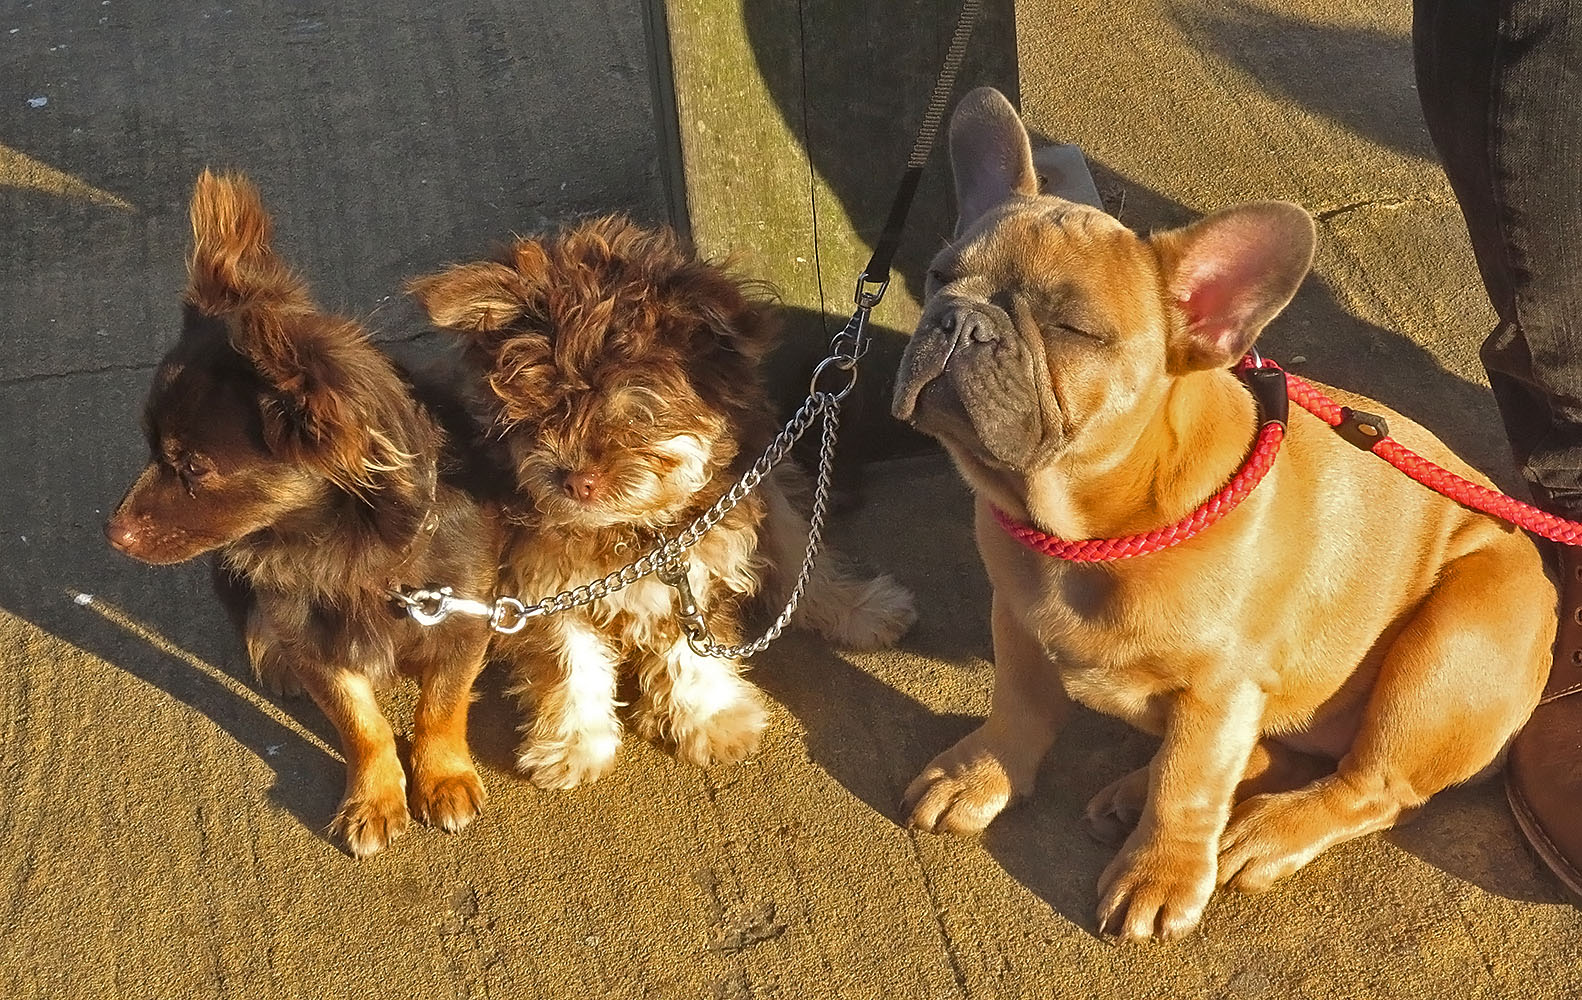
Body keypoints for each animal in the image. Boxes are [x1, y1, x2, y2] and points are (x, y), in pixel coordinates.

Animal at [106, 170, 499, 854]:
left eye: (195, 467)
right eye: (151, 447)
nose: (112, 532)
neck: (349, 552)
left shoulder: (460, 619)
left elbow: (442, 706)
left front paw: (442, 776)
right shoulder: (318, 645)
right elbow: (361, 724)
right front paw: (374, 798)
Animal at [408, 219, 917, 787]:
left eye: (637, 413)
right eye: (544, 408)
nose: (576, 480)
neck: (633, 530)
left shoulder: (697, 562)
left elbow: (690, 651)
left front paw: (710, 720)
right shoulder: (540, 576)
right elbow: (570, 658)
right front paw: (574, 746)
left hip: (767, 482)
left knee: (800, 559)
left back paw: (860, 608)